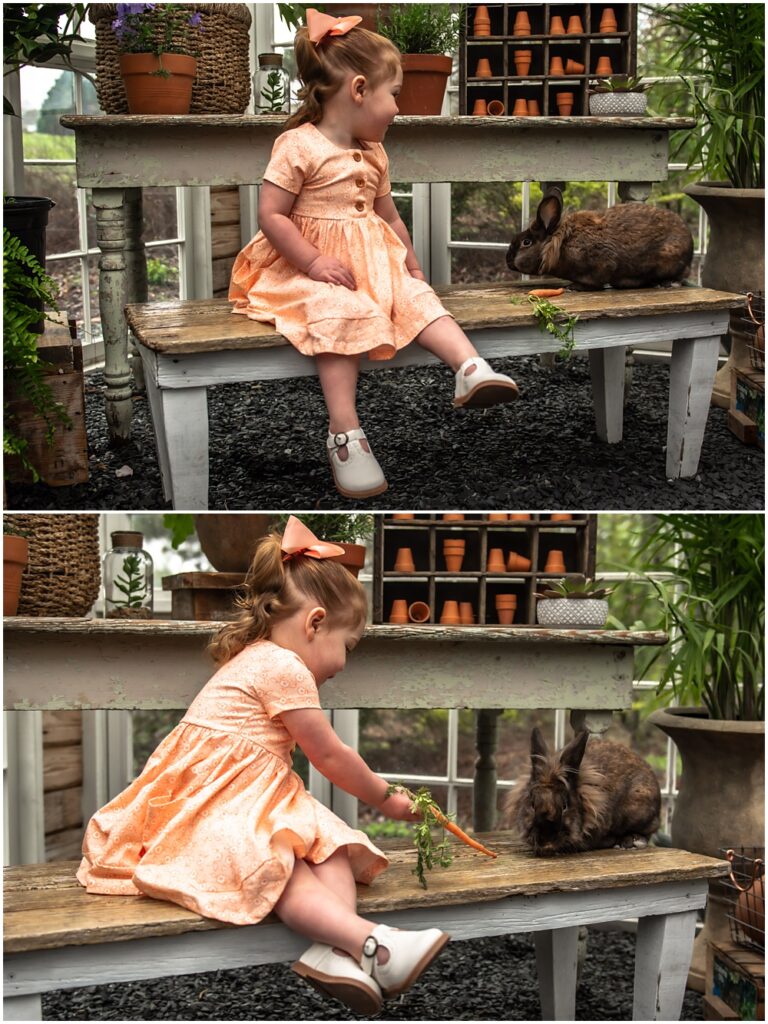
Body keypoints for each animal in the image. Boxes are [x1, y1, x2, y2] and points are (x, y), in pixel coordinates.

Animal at [507, 189, 696, 290]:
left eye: (526, 242)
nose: (507, 261)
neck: (562, 244)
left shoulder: (603, 263)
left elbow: (596, 281)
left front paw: (575, 287)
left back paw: (666, 283)